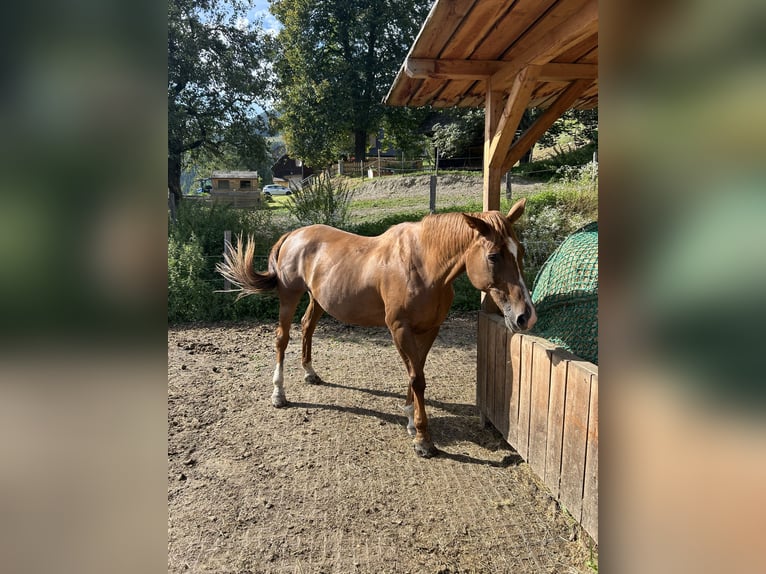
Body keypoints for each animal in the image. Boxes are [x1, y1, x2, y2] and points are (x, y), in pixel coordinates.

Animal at [219, 199, 536, 460]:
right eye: (493, 256)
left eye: (520, 251)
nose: (525, 317)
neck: (423, 266)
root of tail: (294, 235)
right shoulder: (399, 329)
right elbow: (417, 379)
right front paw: (423, 440)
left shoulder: (429, 330)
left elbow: (416, 374)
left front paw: (410, 421)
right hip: (289, 296)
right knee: (282, 339)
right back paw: (279, 394)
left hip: (317, 299)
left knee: (307, 327)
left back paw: (310, 373)